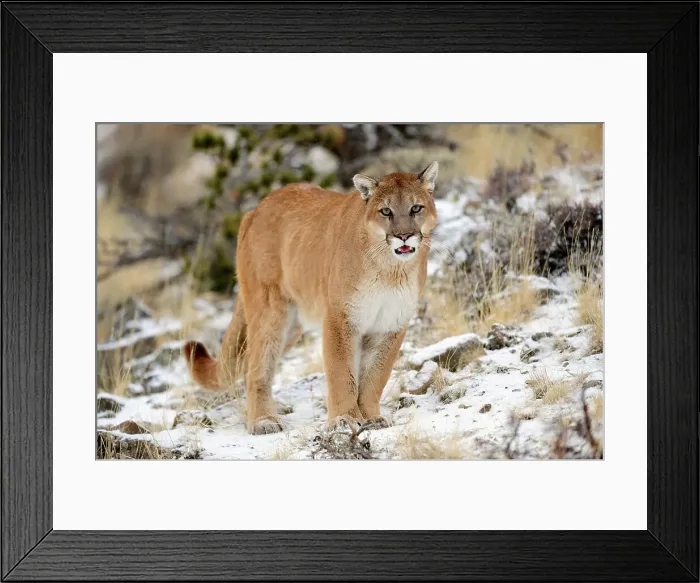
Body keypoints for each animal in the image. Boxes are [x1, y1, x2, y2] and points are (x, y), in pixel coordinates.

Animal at [183, 161, 439, 434]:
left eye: (415, 208)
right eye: (386, 211)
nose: (404, 236)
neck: (390, 270)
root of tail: (254, 210)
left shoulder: (390, 324)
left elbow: (375, 376)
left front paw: (372, 418)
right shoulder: (340, 318)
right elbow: (342, 373)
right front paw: (344, 419)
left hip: (291, 329)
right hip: (270, 313)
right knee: (256, 369)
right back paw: (264, 421)